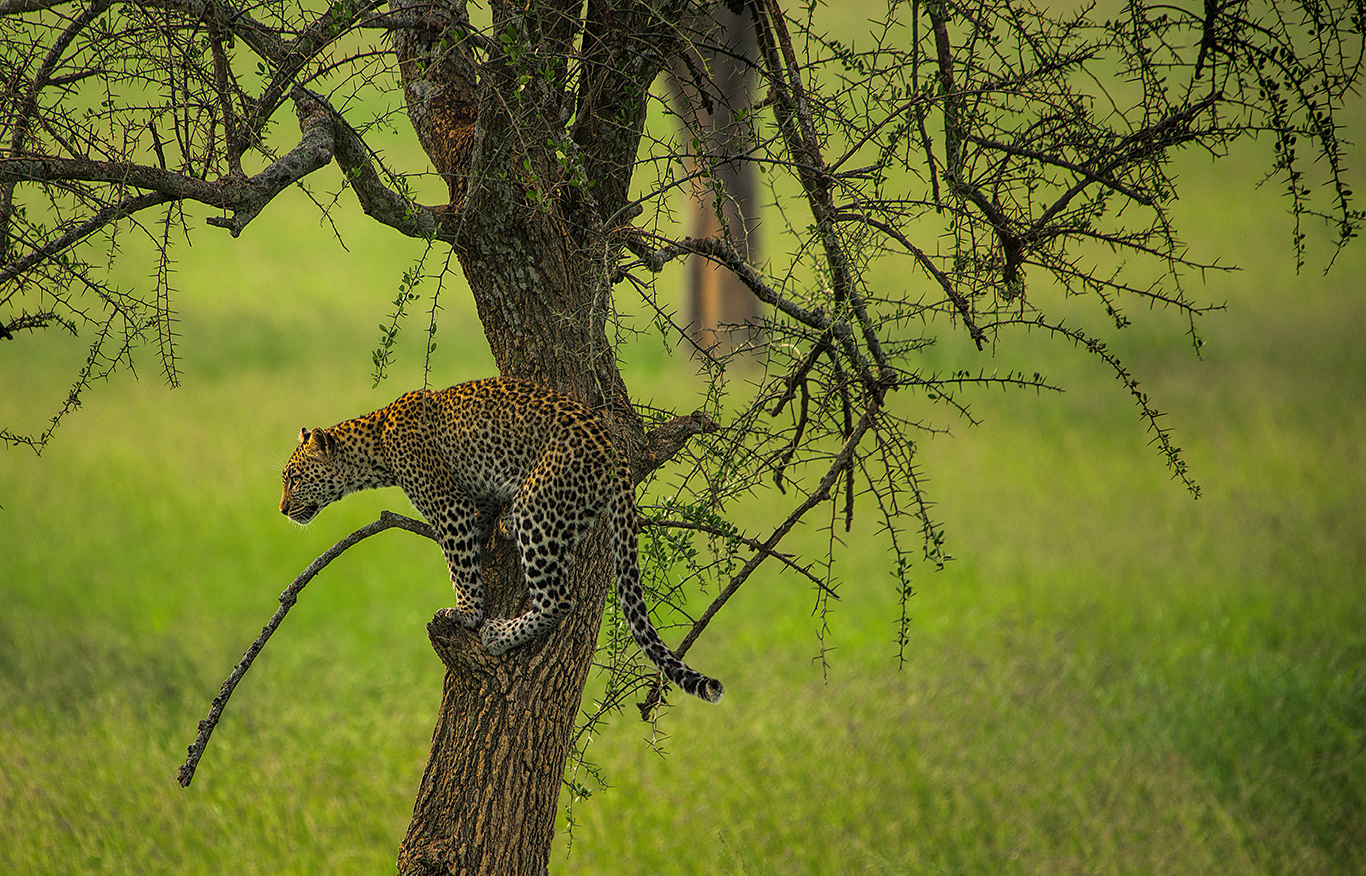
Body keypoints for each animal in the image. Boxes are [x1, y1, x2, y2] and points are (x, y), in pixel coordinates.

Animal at [278, 376, 723, 703]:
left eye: (294, 479)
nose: (281, 509)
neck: (376, 448)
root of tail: (612, 449)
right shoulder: (475, 501)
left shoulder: (450, 506)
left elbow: (459, 564)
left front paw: (467, 613)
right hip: (566, 512)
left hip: (538, 506)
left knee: (559, 598)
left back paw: (497, 634)